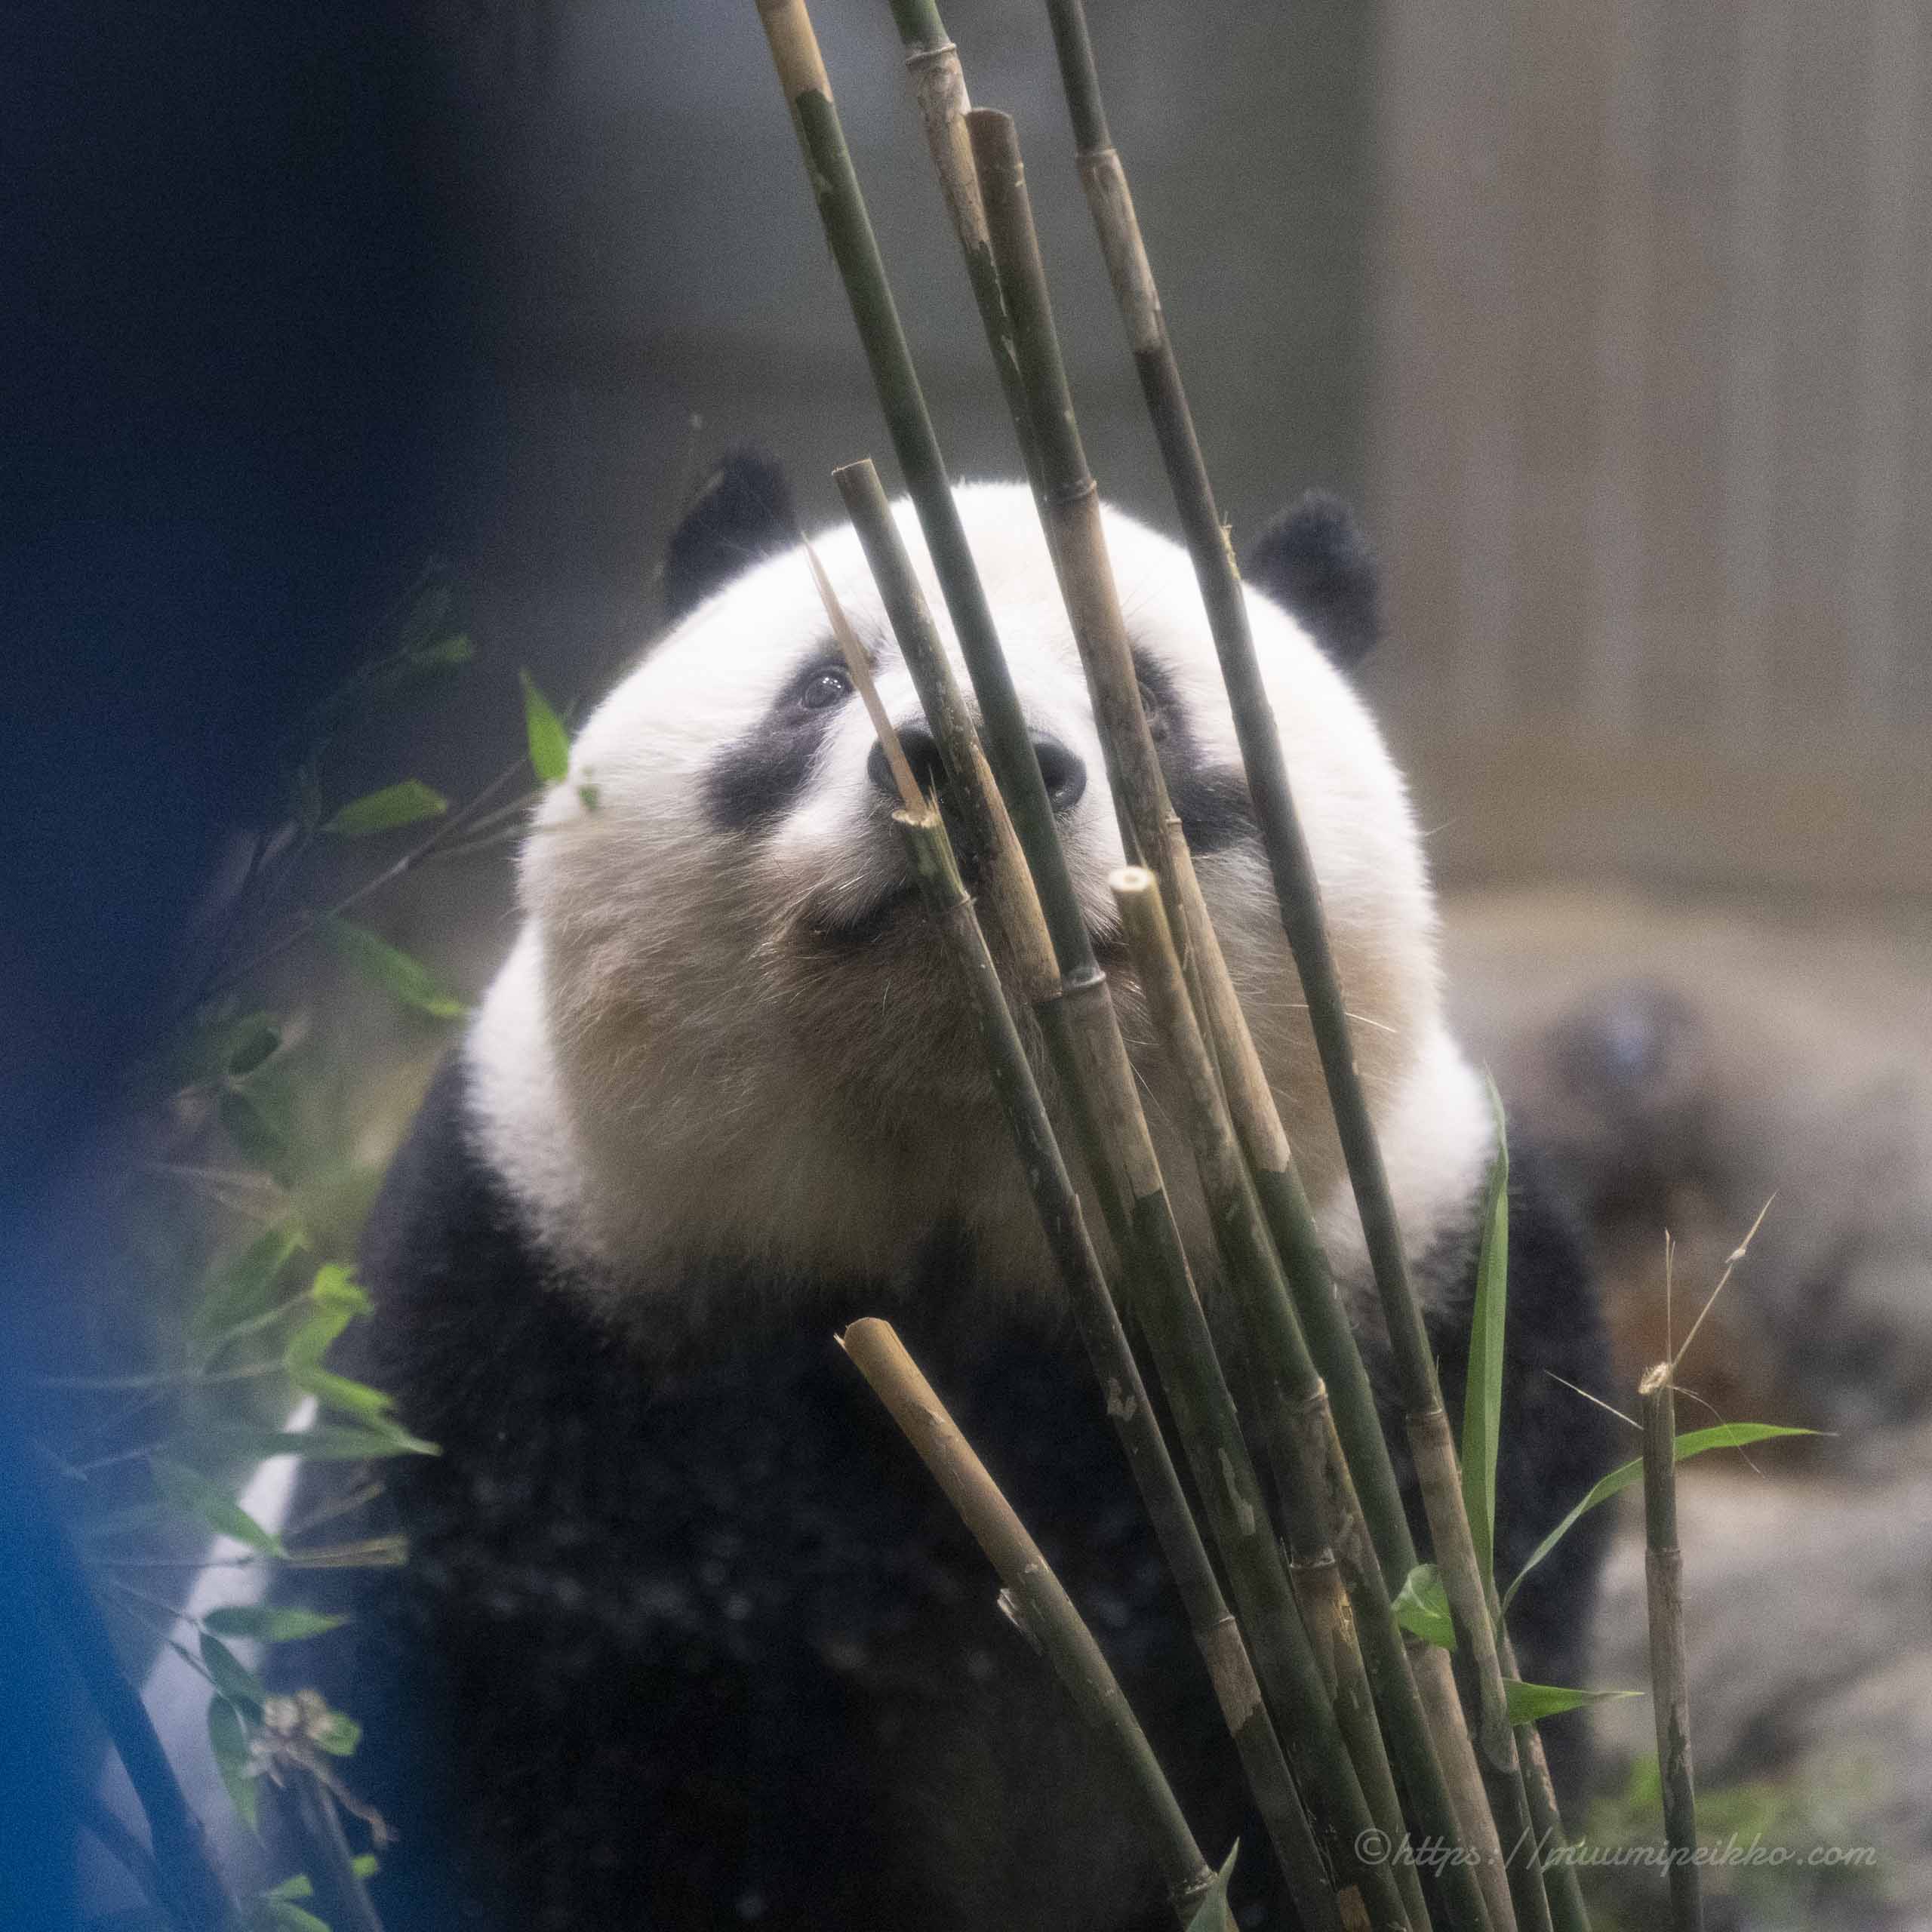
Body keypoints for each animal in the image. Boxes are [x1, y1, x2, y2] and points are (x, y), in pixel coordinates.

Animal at [280, 454, 1615, 1932]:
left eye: (1144, 702)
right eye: (823, 682)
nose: (963, 771)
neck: (965, 1205)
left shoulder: (1404, 1298)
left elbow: (1444, 1708)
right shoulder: (541, 1283)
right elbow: (516, 1743)